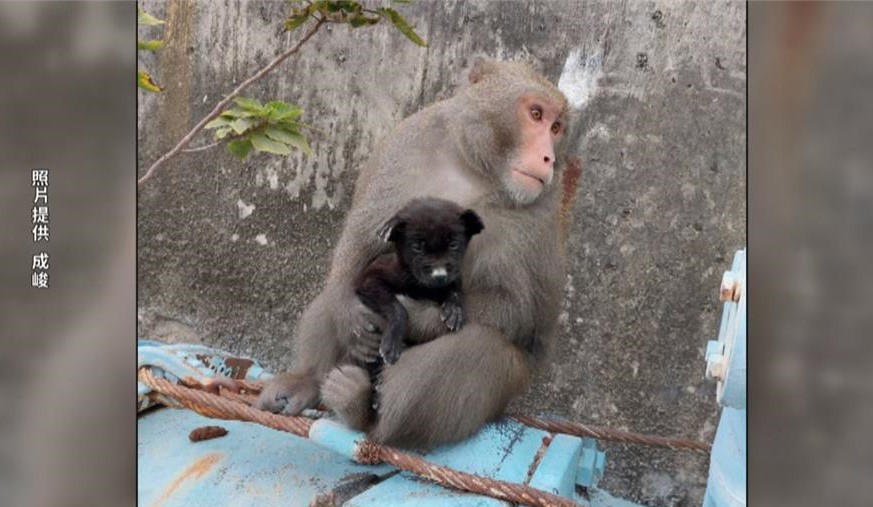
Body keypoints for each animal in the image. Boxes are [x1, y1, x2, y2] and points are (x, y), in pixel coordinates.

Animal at [356, 196, 488, 368]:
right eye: (417, 247)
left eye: (453, 244)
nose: (439, 275)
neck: (422, 287)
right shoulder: (369, 279)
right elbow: (398, 309)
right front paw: (392, 344)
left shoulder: (452, 278)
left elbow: (455, 288)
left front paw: (455, 310)